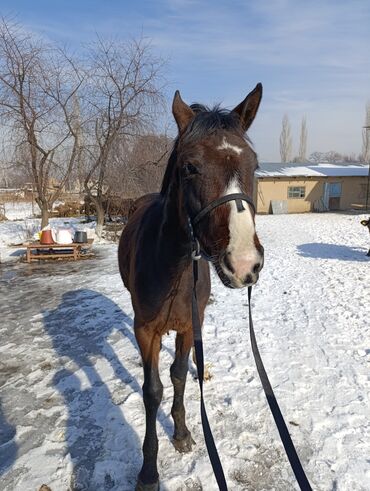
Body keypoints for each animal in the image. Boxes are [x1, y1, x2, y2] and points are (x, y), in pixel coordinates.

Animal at [117, 82, 264, 490]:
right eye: (190, 167)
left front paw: (182, 433)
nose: (244, 263)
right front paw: (149, 471)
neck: (175, 267)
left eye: (254, 166)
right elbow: (152, 390)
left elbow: (179, 377)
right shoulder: (146, 330)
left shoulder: (187, 327)